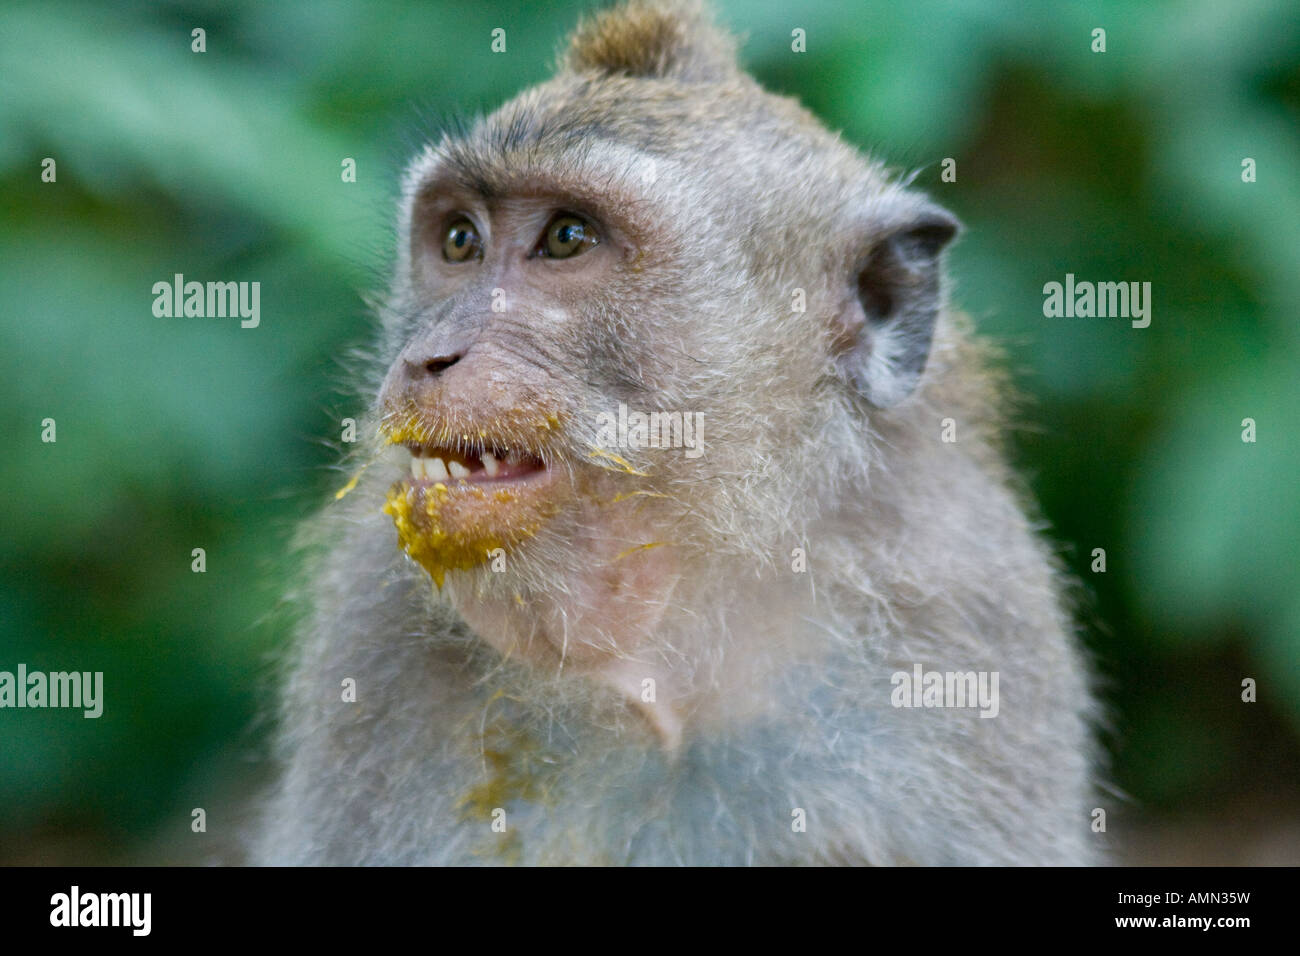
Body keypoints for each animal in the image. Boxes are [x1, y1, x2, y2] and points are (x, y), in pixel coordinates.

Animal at [253, 0, 1097, 868]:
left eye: (567, 238)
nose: (427, 357)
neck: (679, 657)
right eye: (460, 240)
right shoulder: (370, 632)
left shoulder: (969, 615)